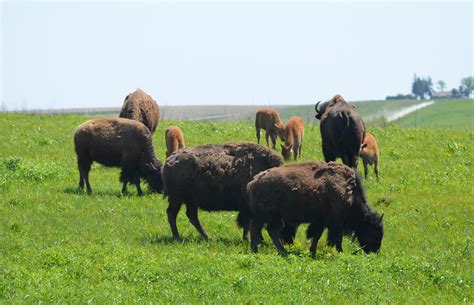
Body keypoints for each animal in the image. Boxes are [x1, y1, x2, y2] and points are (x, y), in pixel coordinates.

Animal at [246, 160, 384, 255]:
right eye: (375, 231)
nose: (374, 251)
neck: (350, 192)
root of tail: (255, 181)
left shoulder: (321, 222)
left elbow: (316, 236)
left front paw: (312, 252)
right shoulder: (335, 222)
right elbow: (335, 238)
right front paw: (340, 252)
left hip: (275, 216)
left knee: (271, 231)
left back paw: (283, 252)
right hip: (264, 215)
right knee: (256, 229)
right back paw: (256, 251)